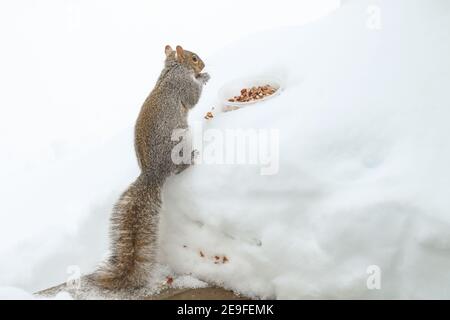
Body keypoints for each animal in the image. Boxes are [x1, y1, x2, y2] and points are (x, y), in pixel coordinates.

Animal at [91, 44, 211, 290]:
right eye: (194, 58)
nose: (203, 64)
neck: (171, 69)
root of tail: (153, 174)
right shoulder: (181, 85)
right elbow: (192, 98)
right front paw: (203, 77)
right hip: (181, 140)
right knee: (181, 167)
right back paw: (193, 158)